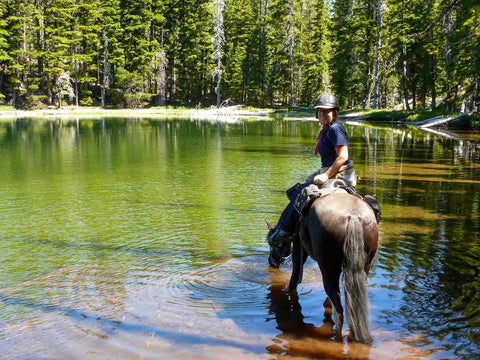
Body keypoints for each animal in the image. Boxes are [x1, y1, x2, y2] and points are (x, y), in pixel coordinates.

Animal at [266, 191, 378, 344]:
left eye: (271, 244)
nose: (271, 261)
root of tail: (353, 217)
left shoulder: (298, 246)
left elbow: (294, 277)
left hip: (328, 271)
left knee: (339, 309)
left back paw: (336, 338)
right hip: (364, 268)